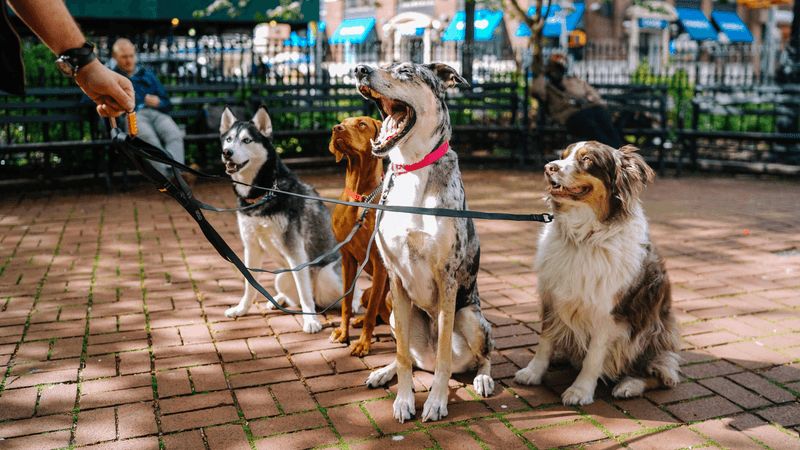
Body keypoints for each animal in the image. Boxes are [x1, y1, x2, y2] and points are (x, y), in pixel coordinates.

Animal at [330, 116, 392, 356]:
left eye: (361, 124)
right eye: (342, 122)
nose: (336, 128)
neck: (360, 199)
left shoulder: (379, 264)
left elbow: (371, 312)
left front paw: (363, 344)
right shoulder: (347, 257)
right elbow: (346, 303)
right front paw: (343, 332)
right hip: (365, 292)